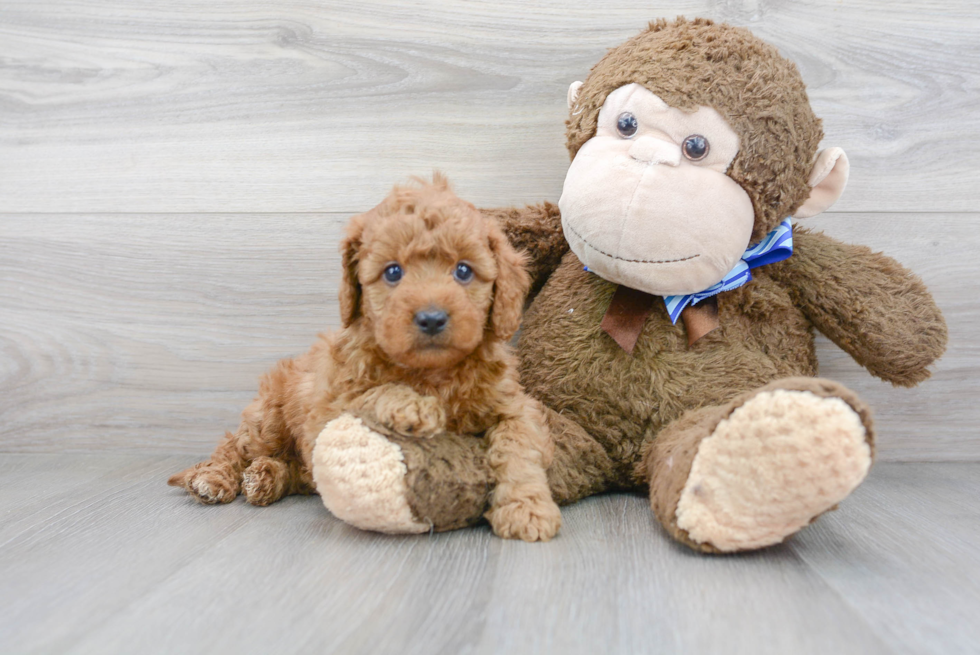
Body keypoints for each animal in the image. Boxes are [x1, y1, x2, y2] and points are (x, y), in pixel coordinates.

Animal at [170, 174, 560, 544]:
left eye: (463, 270)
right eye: (393, 272)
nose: (432, 318)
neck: (432, 373)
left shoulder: (513, 405)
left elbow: (518, 447)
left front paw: (526, 509)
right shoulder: (331, 404)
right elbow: (371, 392)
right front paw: (414, 406)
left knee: (295, 471)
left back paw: (266, 477)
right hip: (267, 420)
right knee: (234, 446)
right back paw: (213, 478)